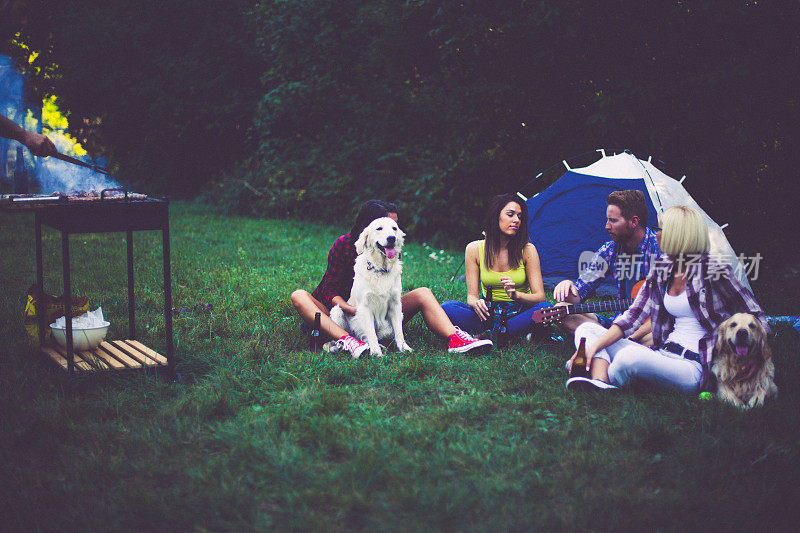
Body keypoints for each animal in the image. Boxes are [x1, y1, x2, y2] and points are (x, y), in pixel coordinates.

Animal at [328, 216, 412, 358]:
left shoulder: (395, 304)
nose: (391, 238)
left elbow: (399, 331)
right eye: (379, 228)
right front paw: (376, 353)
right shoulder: (365, 307)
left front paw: (403, 348)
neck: (380, 270)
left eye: (394, 228)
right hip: (337, 310)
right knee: (355, 336)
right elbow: (371, 333)